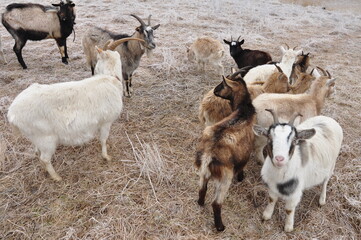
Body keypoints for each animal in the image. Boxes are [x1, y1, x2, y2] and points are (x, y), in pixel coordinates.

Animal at [7, 37, 139, 180]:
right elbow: (103, 140)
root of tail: (12, 113)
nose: (94, 71)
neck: (110, 78)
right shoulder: (106, 122)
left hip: (37, 137)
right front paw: (106, 156)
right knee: (45, 159)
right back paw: (57, 177)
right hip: (46, 138)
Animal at [194, 70, 256, 232]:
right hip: (224, 176)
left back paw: (200, 203)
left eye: (222, 84)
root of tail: (208, 154)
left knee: (202, 188)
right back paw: (220, 227)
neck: (243, 111)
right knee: (216, 203)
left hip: (203, 172)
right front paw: (241, 178)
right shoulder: (245, 153)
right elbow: (242, 166)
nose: (215, 91)